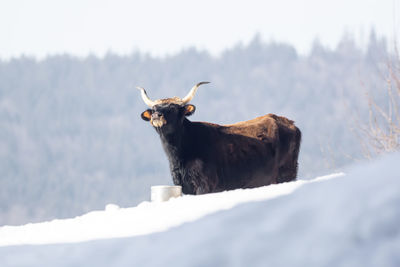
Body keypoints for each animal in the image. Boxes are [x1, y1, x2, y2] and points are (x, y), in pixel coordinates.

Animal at [138, 81, 300, 195]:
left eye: (172, 108)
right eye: (154, 109)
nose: (156, 115)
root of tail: (289, 122)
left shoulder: (205, 186)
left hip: (286, 174)